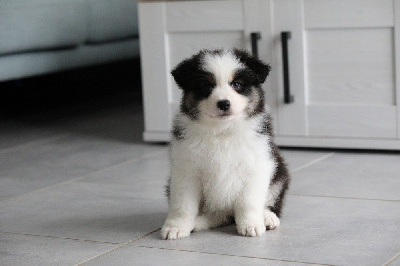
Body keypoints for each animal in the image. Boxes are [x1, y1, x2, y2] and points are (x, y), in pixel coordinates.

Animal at [161, 48, 290, 240]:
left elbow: (249, 201)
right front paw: (175, 227)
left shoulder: (257, 165)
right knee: (218, 215)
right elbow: (182, 204)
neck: (222, 131)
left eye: (236, 84)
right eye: (206, 87)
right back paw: (198, 222)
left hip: (279, 174)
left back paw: (267, 217)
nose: (223, 103)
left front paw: (251, 224)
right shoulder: (186, 170)